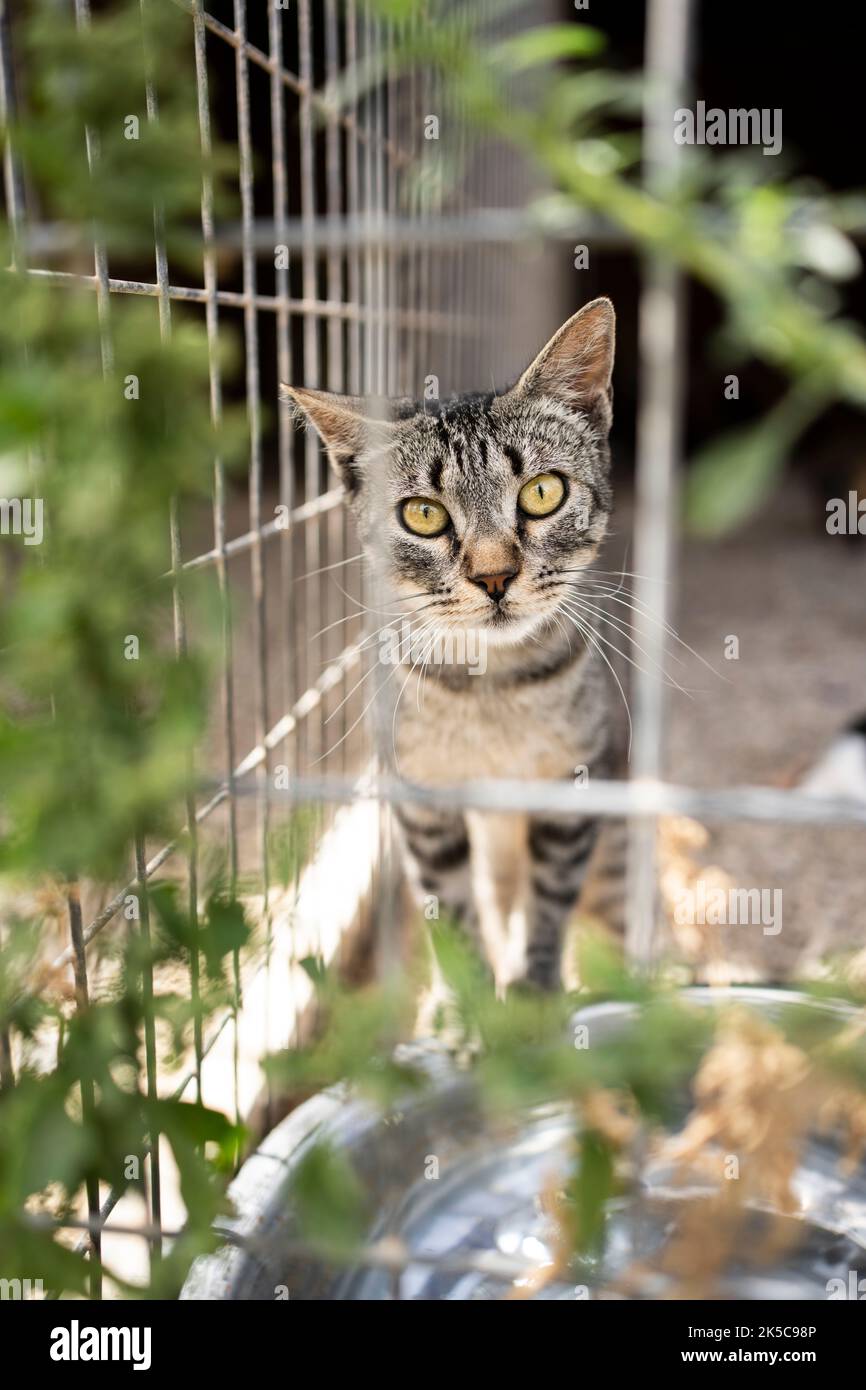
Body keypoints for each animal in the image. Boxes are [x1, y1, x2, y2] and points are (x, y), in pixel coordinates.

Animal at [287, 297, 625, 984]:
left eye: (542, 492)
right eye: (424, 514)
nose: (494, 575)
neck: (491, 690)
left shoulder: (571, 791)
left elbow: (548, 907)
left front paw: (535, 993)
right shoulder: (423, 805)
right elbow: (454, 920)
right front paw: (475, 1008)